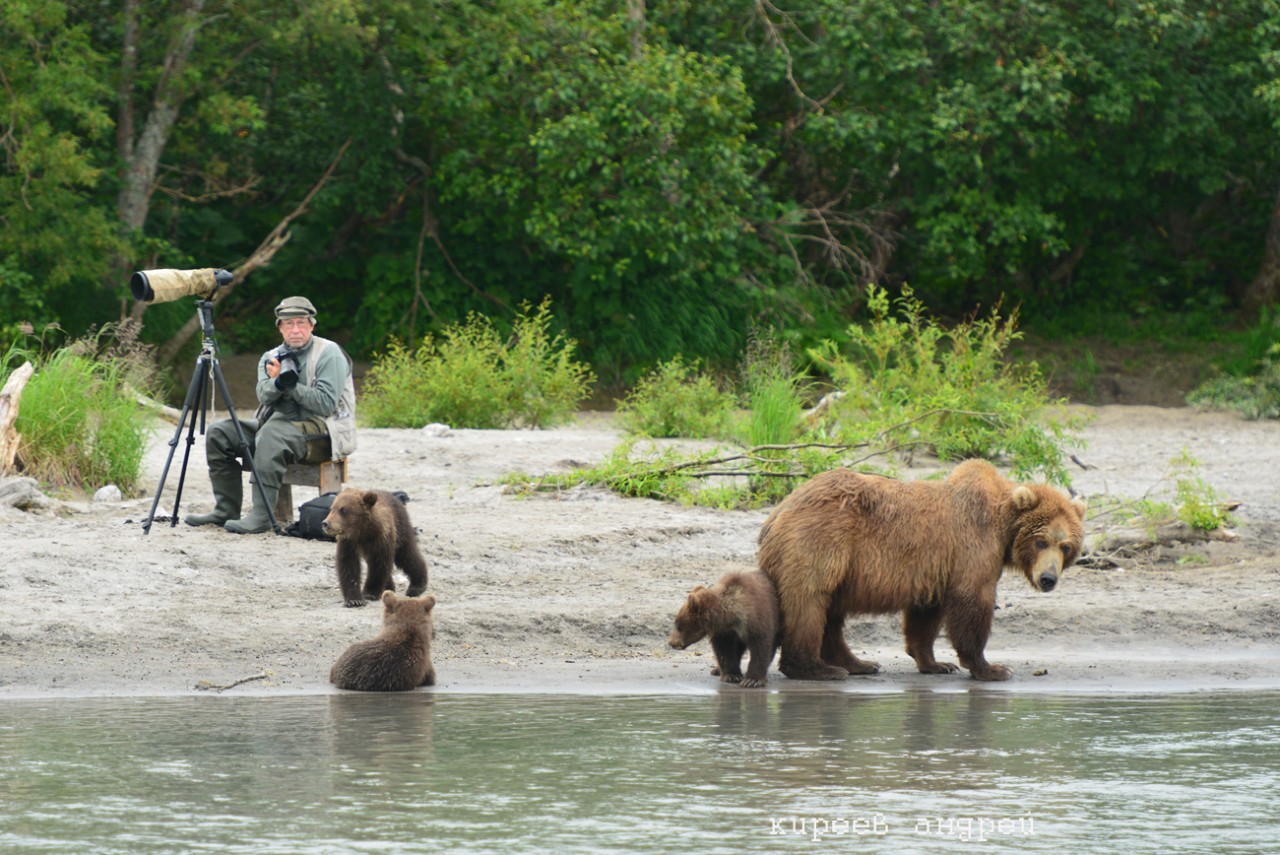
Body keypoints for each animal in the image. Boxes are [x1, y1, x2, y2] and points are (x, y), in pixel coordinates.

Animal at [752, 460, 1085, 680]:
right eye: (1041, 541)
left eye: (1066, 546)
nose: (1048, 579)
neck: (1003, 524)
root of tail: (777, 513)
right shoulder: (972, 546)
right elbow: (972, 600)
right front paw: (991, 667)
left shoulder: (935, 568)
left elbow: (926, 616)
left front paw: (936, 664)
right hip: (821, 541)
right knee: (809, 602)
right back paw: (817, 669)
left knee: (830, 612)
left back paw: (858, 664)